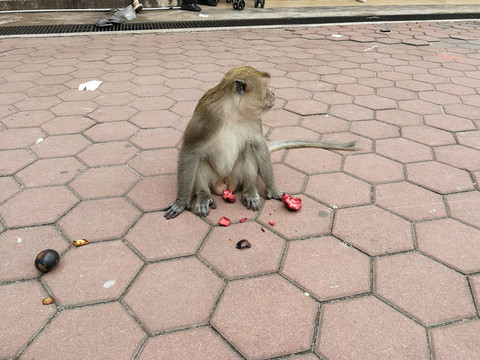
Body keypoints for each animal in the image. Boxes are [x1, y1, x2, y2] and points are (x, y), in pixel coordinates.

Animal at [164, 66, 356, 221]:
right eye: (265, 86)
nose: (274, 93)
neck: (233, 112)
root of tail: (225, 184)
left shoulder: (255, 120)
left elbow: (259, 146)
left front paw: (272, 189)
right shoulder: (206, 119)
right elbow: (190, 151)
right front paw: (181, 201)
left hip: (236, 176)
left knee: (248, 150)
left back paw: (250, 190)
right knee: (200, 158)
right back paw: (204, 195)